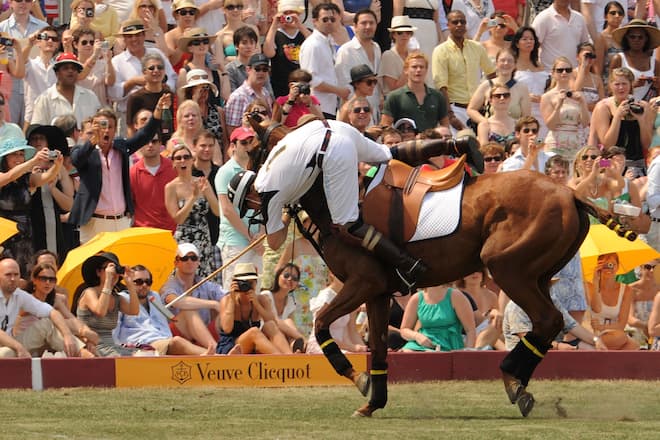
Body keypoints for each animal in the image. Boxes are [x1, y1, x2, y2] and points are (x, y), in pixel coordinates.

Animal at [242, 116, 633, 418]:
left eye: (256, 151)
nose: (247, 194)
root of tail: (570, 192)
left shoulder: (363, 283)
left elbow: (322, 323)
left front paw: (358, 379)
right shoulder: (378, 293)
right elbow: (379, 347)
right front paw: (373, 402)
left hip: (508, 268)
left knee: (548, 319)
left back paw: (513, 380)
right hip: (537, 274)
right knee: (549, 322)